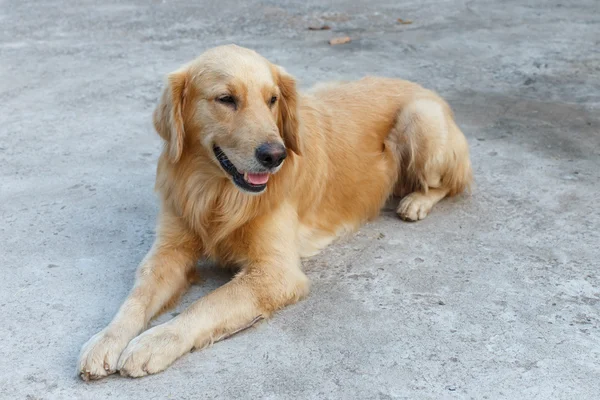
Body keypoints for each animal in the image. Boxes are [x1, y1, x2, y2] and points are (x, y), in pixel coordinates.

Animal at [78, 43, 474, 378]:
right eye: (226, 99)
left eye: (272, 99)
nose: (275, 155)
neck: (216, 193)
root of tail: (425, 89)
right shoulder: (169, 250)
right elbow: (136, 298)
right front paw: (106, 339)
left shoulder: (275, 272)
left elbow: (205, 305)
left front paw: (155, 342)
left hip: (421, 118)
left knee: (449, 183)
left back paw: (416, 201)